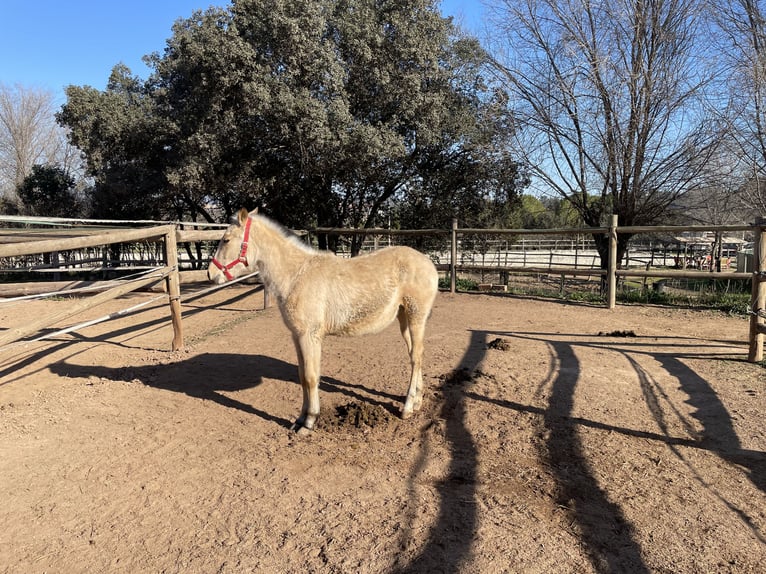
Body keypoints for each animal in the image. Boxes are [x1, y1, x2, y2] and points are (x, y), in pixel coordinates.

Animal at [208, 209, 438, 434]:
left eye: (226, 240)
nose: (211, 274)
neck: (297, 275)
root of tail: (429, 263)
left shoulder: (309, 336)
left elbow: (311, 377)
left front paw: (309, 421)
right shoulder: (297, 336)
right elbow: (302, 376)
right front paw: (299, 419)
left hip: (416, 317)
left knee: (416, 357)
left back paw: (408, 407)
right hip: (404, 319)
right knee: (415, 354)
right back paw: (417, 401)